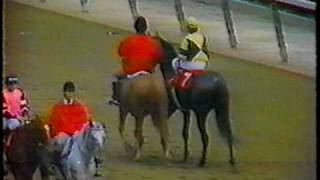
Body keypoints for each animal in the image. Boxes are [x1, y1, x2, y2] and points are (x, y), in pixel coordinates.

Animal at [155, 35, 235, 167]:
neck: (171, 72)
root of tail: (217, 81)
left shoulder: (172, 106)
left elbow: (164, 122)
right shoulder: (186, 110)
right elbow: (185, 132)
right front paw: (185, 155)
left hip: (201, 113)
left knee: (206, 137)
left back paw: (202, 161)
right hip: (222, 109)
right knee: (228, 132)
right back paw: (232, 160)